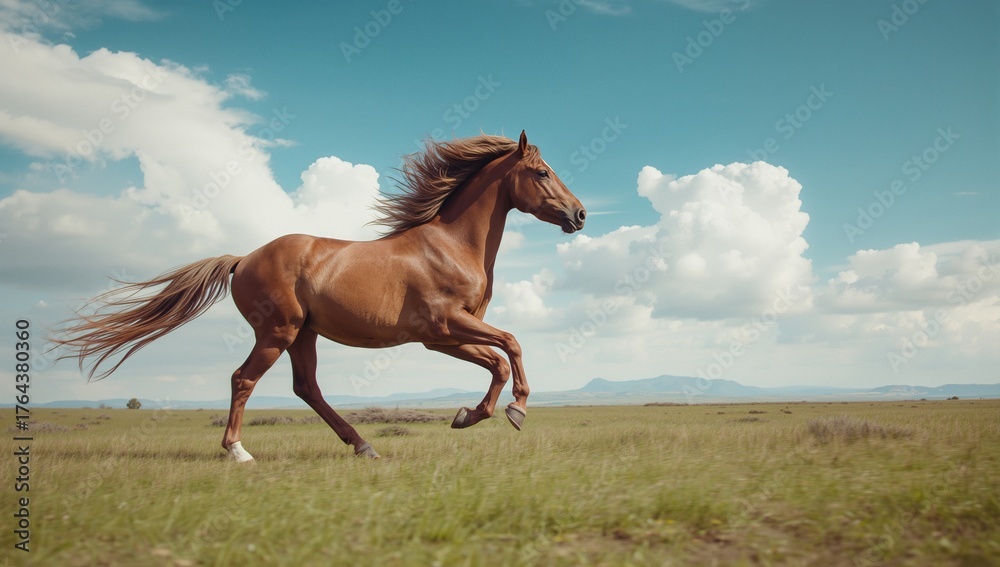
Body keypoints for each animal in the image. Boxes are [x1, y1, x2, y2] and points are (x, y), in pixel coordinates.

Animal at [52, 131, 586, 461]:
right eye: (542, 173)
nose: (580, 214)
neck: (450, 245)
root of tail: (243, 258)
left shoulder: (442, 338)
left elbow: (496, 360)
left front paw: (467, 416)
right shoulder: (445, 325)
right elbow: (511, 344)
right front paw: (513, 411)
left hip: (304, 335)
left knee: (306, 388)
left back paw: (364, 446)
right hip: (278, 330)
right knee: (243, 379)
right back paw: (239, 452)